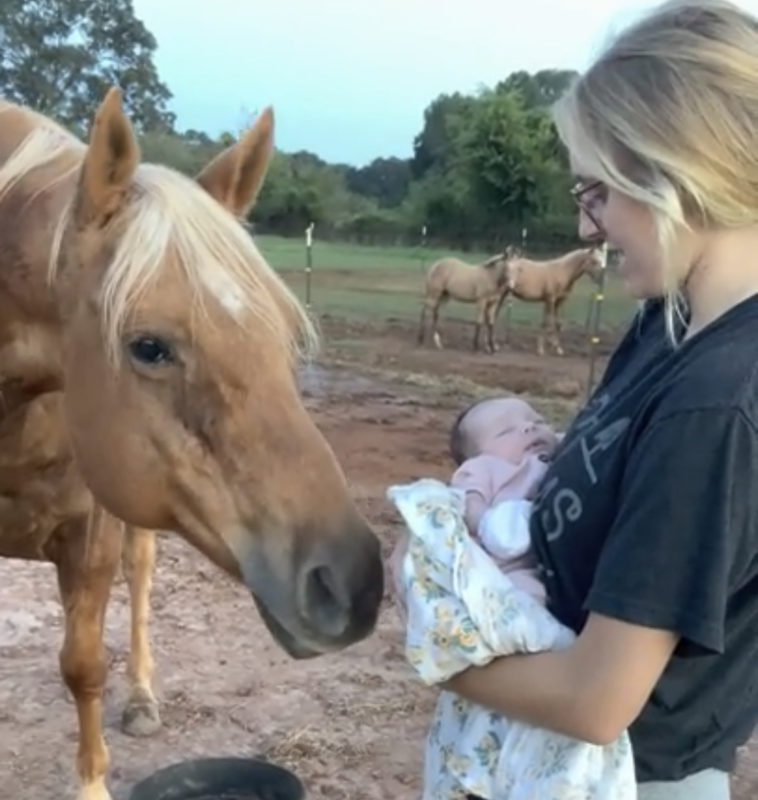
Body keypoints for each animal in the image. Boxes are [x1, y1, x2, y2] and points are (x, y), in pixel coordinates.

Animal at [0, 88, 384, 800]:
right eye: (149, 346)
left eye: (283, 332)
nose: (352, 584)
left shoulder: (91, 535)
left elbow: (84, 665)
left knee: (140, 582)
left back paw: (142, 698)